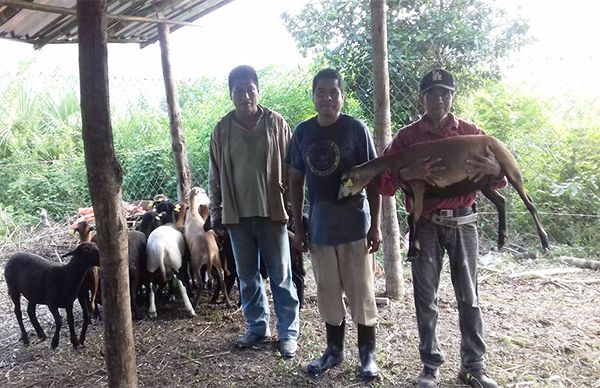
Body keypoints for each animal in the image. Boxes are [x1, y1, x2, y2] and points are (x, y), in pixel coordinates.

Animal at [338, 135, 548, 260]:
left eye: (343, 181)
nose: (339, 199)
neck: (401, 160)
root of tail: (497, 142)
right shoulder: (412, 193)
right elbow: (413, 218)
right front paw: (415, 248)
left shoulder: (419, 186)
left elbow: (414, 219)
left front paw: (413, 251)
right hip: (484, 181)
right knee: (501, 202)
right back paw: (501, 239)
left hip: (510, 169)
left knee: (529, 203)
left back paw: (544, 242)